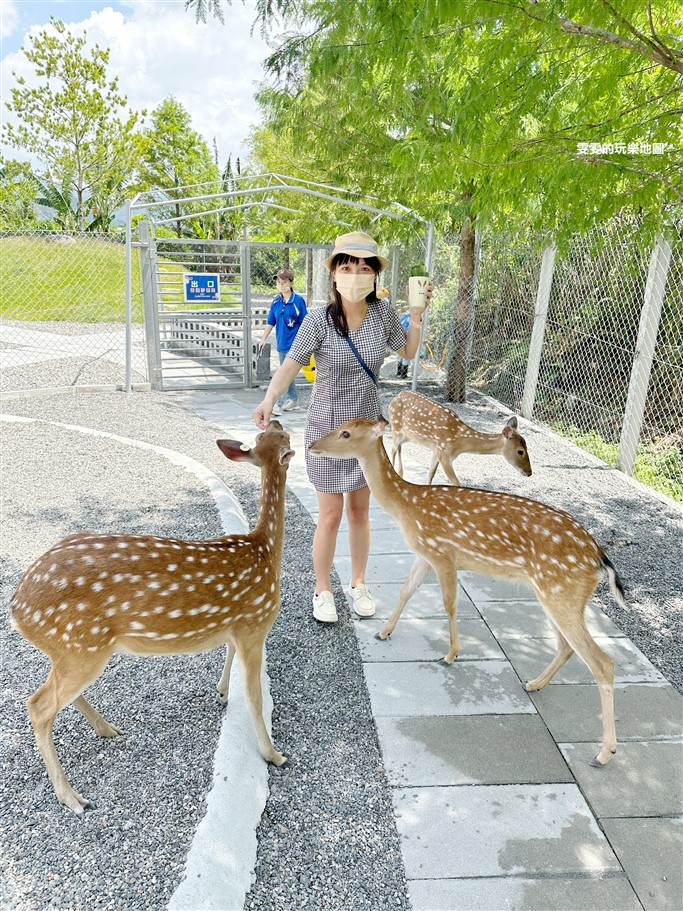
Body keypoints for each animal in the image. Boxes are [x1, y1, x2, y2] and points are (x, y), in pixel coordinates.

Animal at [10, 420, 294, 812]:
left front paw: (222, 692)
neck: (265, 551)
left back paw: (107, 729)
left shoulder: (237, 626)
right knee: (38, 706)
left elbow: (228, 654)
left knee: (54, 696)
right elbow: (254, 696)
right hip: (82, 646)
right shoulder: (256, 622)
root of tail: (16, 608)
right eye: (286, 439)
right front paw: (273, 754)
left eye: (271, 435)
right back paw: (71, 796)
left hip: (70, 650)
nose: (277, 421)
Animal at [312, 416, 628, 764]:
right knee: (567, 647)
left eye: (345, 433)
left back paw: (604, 752)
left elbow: (449, 603)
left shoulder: (442, 554)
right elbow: (406, 591)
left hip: (561, 590)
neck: (407, 506)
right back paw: (533, 684)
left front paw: (450, 655)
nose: (311, 445)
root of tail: (600, 558)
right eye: (342, 425)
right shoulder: (424, 554)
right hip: (555, 593)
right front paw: (383, 632)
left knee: (603, 662)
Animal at [390, 390, 536, 488]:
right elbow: (456, 483)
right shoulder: (444, 454)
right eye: (520, 451)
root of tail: (394, 398)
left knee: (398, 449)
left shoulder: (437, 450)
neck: (460, 442)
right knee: (392, 450)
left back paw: (400, 473)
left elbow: (431, 473)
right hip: (395, 427)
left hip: (406, 436)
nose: (529, 472)